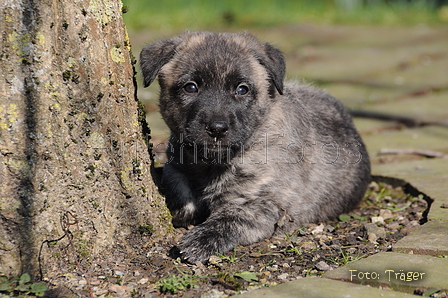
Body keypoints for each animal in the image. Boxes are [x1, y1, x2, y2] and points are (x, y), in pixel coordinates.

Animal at [140, 30, 372, 264]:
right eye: (191, 87)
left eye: (242, 89)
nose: (217, 129)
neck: (212, 165)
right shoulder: (175, 166)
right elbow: (179, 190)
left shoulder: (266, 205)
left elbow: (232, 217)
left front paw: (200, 240)